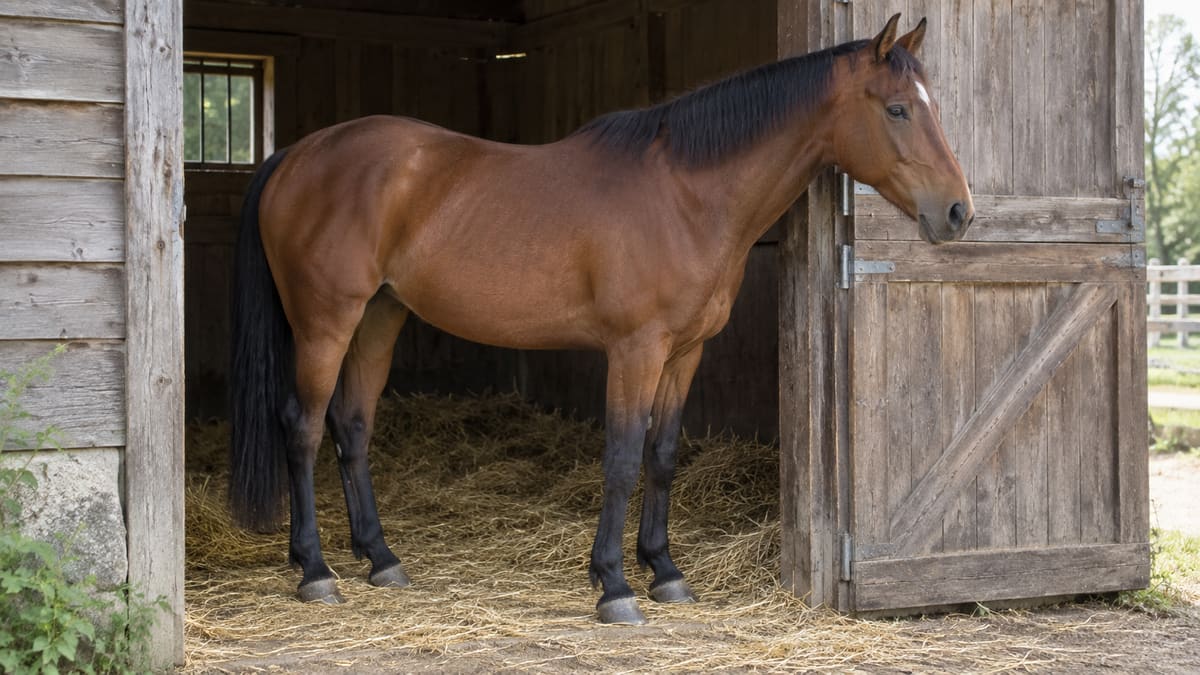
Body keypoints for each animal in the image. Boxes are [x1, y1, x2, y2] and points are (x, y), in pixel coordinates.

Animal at [229, 13, 973, 625]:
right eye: (898, 109)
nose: (959, 212)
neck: (685, 195)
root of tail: (296, 156)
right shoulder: (635, 350)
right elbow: (620, 457)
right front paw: (613, 585)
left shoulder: (685, 352)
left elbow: (663, 455)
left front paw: (665, 571)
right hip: (326, 322)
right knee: (302, 427)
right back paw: (316, 571)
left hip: (380, 316)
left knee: (352, 426)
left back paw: (381, 559)